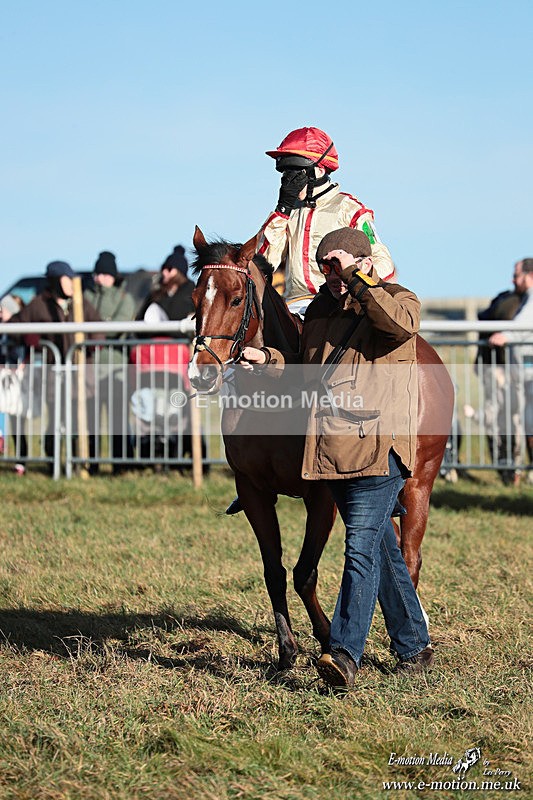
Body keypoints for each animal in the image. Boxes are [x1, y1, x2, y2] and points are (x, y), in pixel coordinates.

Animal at [189, 226, 454, 670]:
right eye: (195, 299)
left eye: (237, 298)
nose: (201, 374)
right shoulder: (253, 491)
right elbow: (275, 571)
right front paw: (287, 649)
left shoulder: (322, 496)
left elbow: (305, 572)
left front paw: (329, 640)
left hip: (419, 482)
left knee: (409, 556)